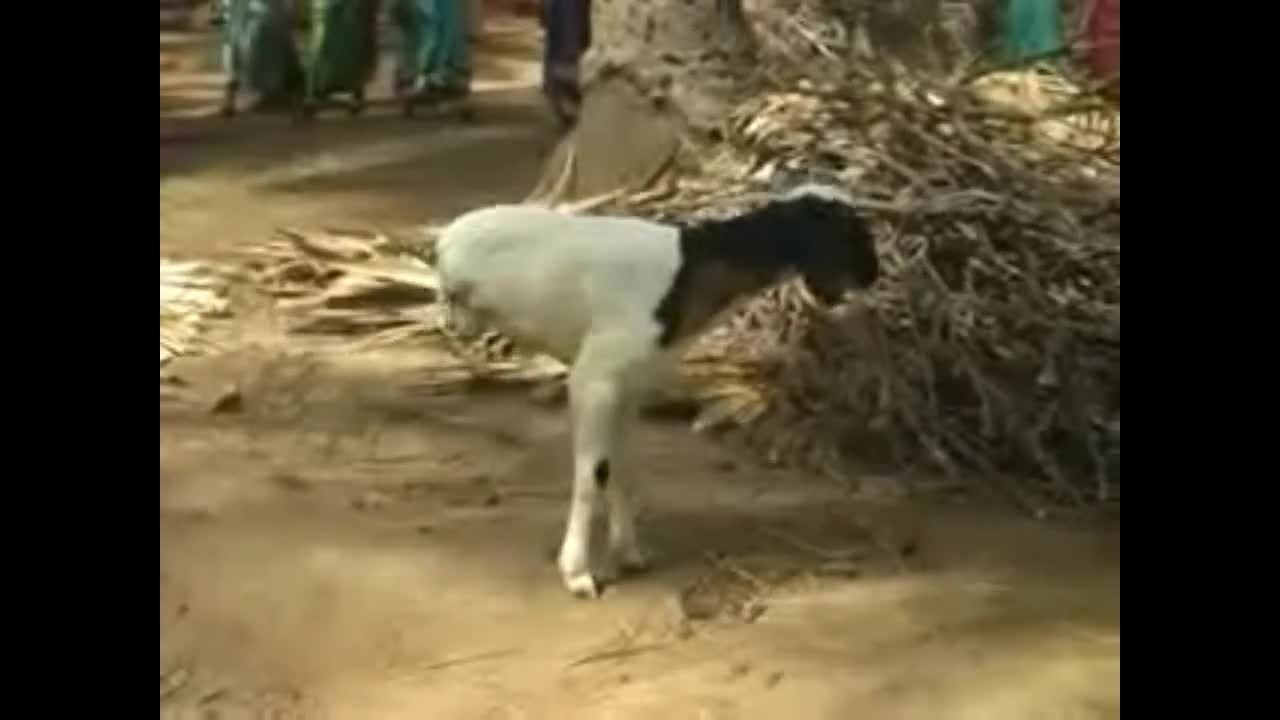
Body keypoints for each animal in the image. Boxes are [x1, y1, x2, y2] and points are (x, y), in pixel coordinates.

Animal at [434, 183, 880, 598]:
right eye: (847, 230)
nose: (873, 274)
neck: (686, 271)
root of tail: (446, 241)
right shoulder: (594, 379)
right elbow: (593, 473)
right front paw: (577, 574)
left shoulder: (630, 384)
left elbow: (622, 466)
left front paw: (629, 553)